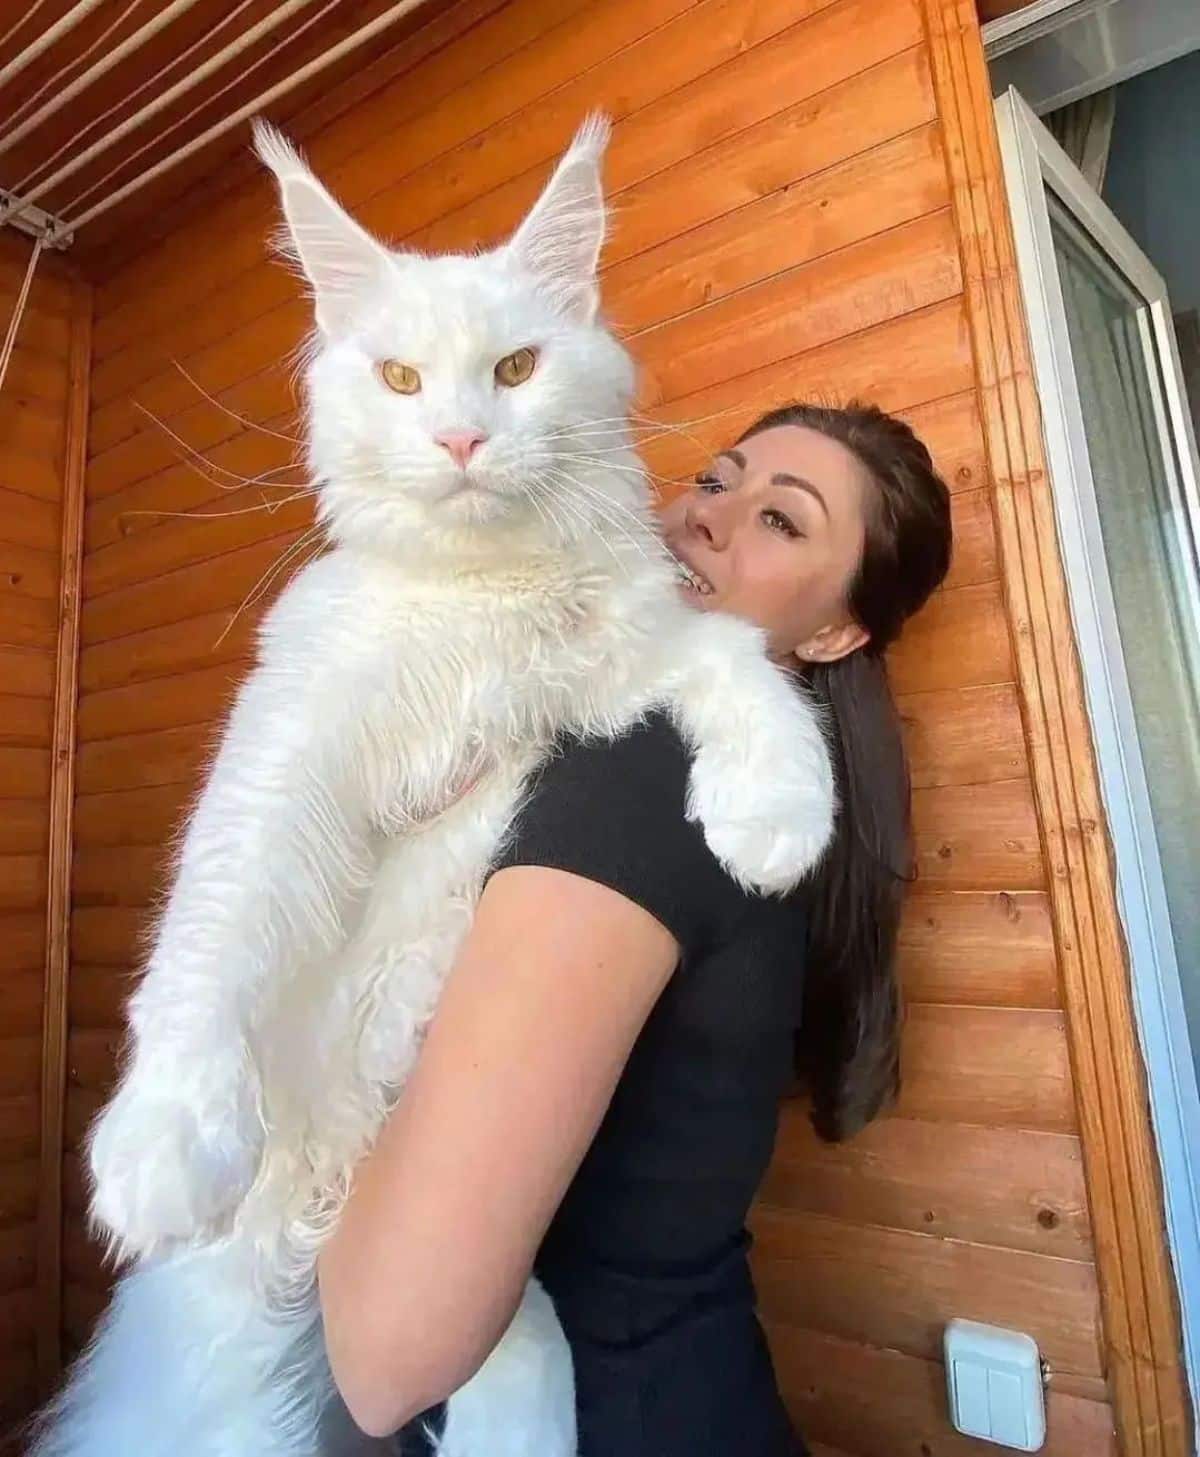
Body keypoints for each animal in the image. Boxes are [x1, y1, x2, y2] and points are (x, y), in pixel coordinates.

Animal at [30, 116, 833, 1457]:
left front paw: (775, 811)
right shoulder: (292, 737)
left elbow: (737, 660)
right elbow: (213, 926)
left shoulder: (615, 667)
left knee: (502, 1337)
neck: (479, 605)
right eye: (402, 381)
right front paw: (166, 1137)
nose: (460, 440)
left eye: (514, 368)